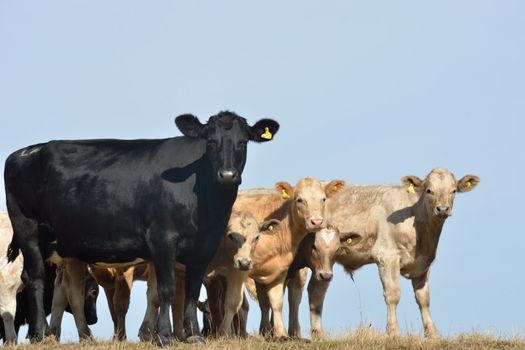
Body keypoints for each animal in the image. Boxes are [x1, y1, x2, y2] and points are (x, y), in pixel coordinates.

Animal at [4, 111, 278, 344]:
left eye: (243, 142)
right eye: (210, 142)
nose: (227, 175)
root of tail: (25, 152)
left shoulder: (204, 246)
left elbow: (191, 289)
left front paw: (194, 335)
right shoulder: (163, 239)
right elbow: (167, 290)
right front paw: (165, 336)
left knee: (49, 282)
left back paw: (48, 334)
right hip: (27, 227)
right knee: (36, 277)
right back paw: (41, 333)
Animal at [328, 168, 478, 338]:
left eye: (453, 191)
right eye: (429, 190)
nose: (443, 209)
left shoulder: (423, 263)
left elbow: (424, 299)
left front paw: (432, 334)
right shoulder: (386, 256)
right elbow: (393, 295)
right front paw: (393, 332)